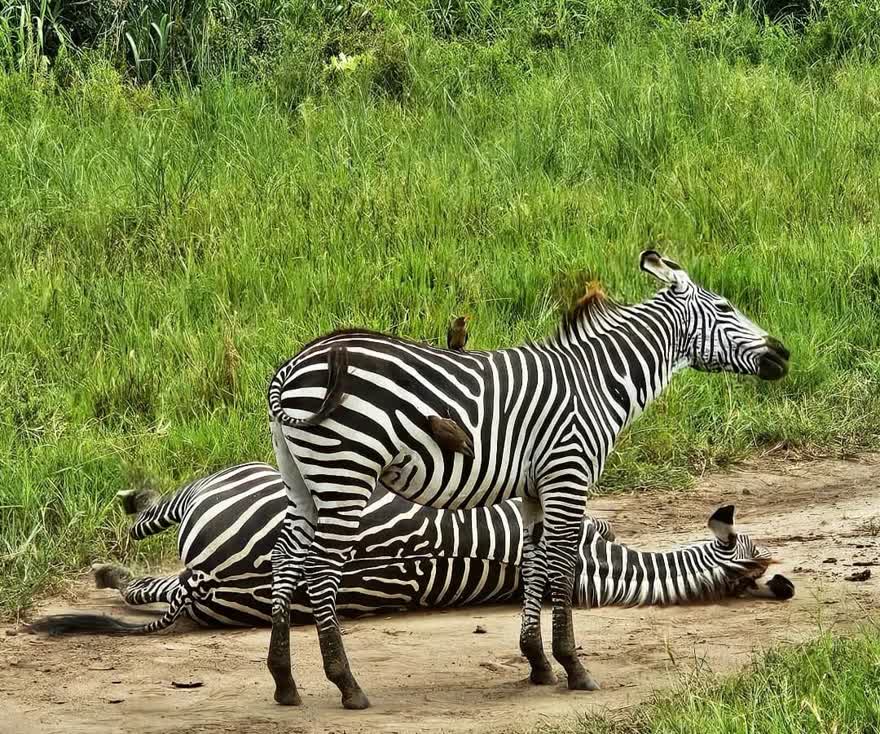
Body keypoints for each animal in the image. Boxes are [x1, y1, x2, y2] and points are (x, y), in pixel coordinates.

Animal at [265, 250, 790, 708]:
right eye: (725, 308)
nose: (783, 355)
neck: (599, 381)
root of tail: (291, 367)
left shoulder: (537, 489)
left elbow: (534, 562)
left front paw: (537, 662)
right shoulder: (568, 475)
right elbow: (562, 565)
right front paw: (572, 666)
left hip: (303, 479)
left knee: (285, 557)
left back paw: (284, 681)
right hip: (345, 473)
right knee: (320, 568)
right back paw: (346, 684)